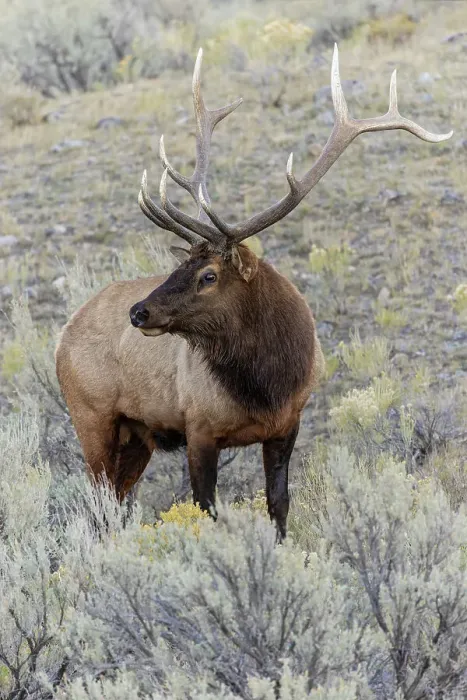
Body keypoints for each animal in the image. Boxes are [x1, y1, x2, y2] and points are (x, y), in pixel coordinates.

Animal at [55, 45, 452, 540]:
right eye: (179, 266)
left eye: (208, 275)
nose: (139, 312)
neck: (266, 383)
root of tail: (62, 336)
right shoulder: (198, 428)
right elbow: (206, 510)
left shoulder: (288, 424)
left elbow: (278, 503)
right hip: (91, 418)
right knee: (96, 506)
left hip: (135, 436)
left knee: (113, 505)